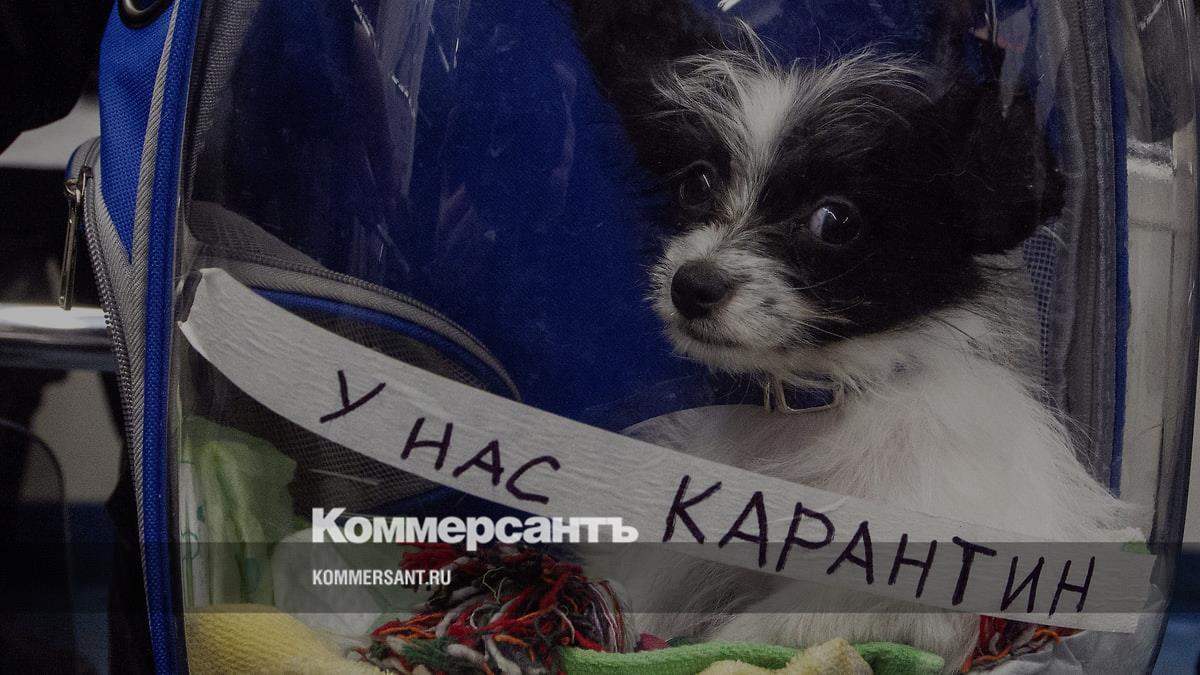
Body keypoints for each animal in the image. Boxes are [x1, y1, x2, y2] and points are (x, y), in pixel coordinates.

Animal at [566, 2, 1137, 669]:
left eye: (835, 221)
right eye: (696, 184)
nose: (691, 285)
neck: (823, 400)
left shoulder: (904, 597)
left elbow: (765, 629)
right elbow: (654, 580)